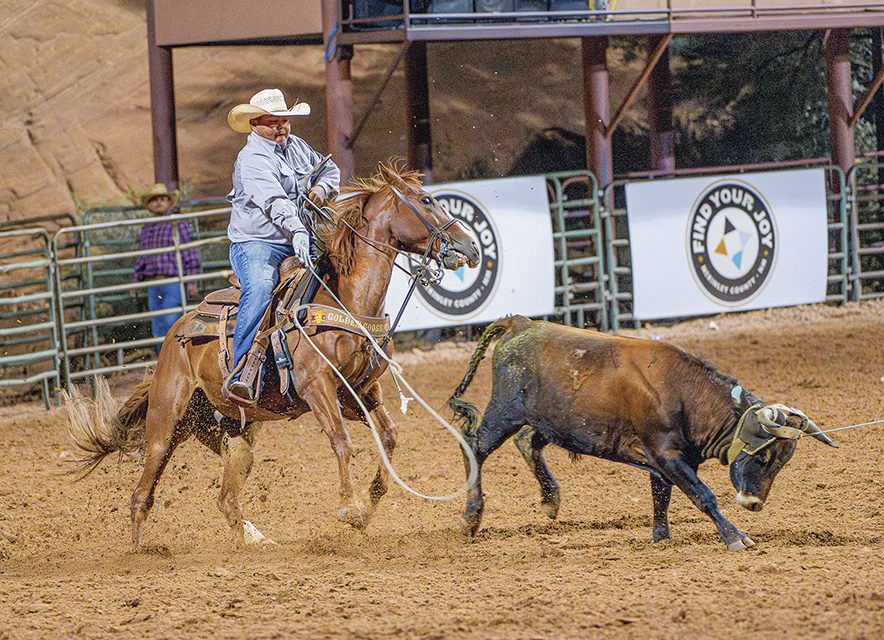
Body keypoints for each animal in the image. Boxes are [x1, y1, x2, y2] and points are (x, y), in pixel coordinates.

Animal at [67, 162, 484, 548]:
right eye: (426, 200)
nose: (470, 248)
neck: (346, 298)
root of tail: (173, 337)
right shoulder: (317, 386)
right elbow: (341, 440)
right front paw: (350, 506)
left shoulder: (360, 392)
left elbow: (390, 437)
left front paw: (369, 503)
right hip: (166, 421)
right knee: (143, 492)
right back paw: (140, 552)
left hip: (233, 433)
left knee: (227, 498)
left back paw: (256, 540)